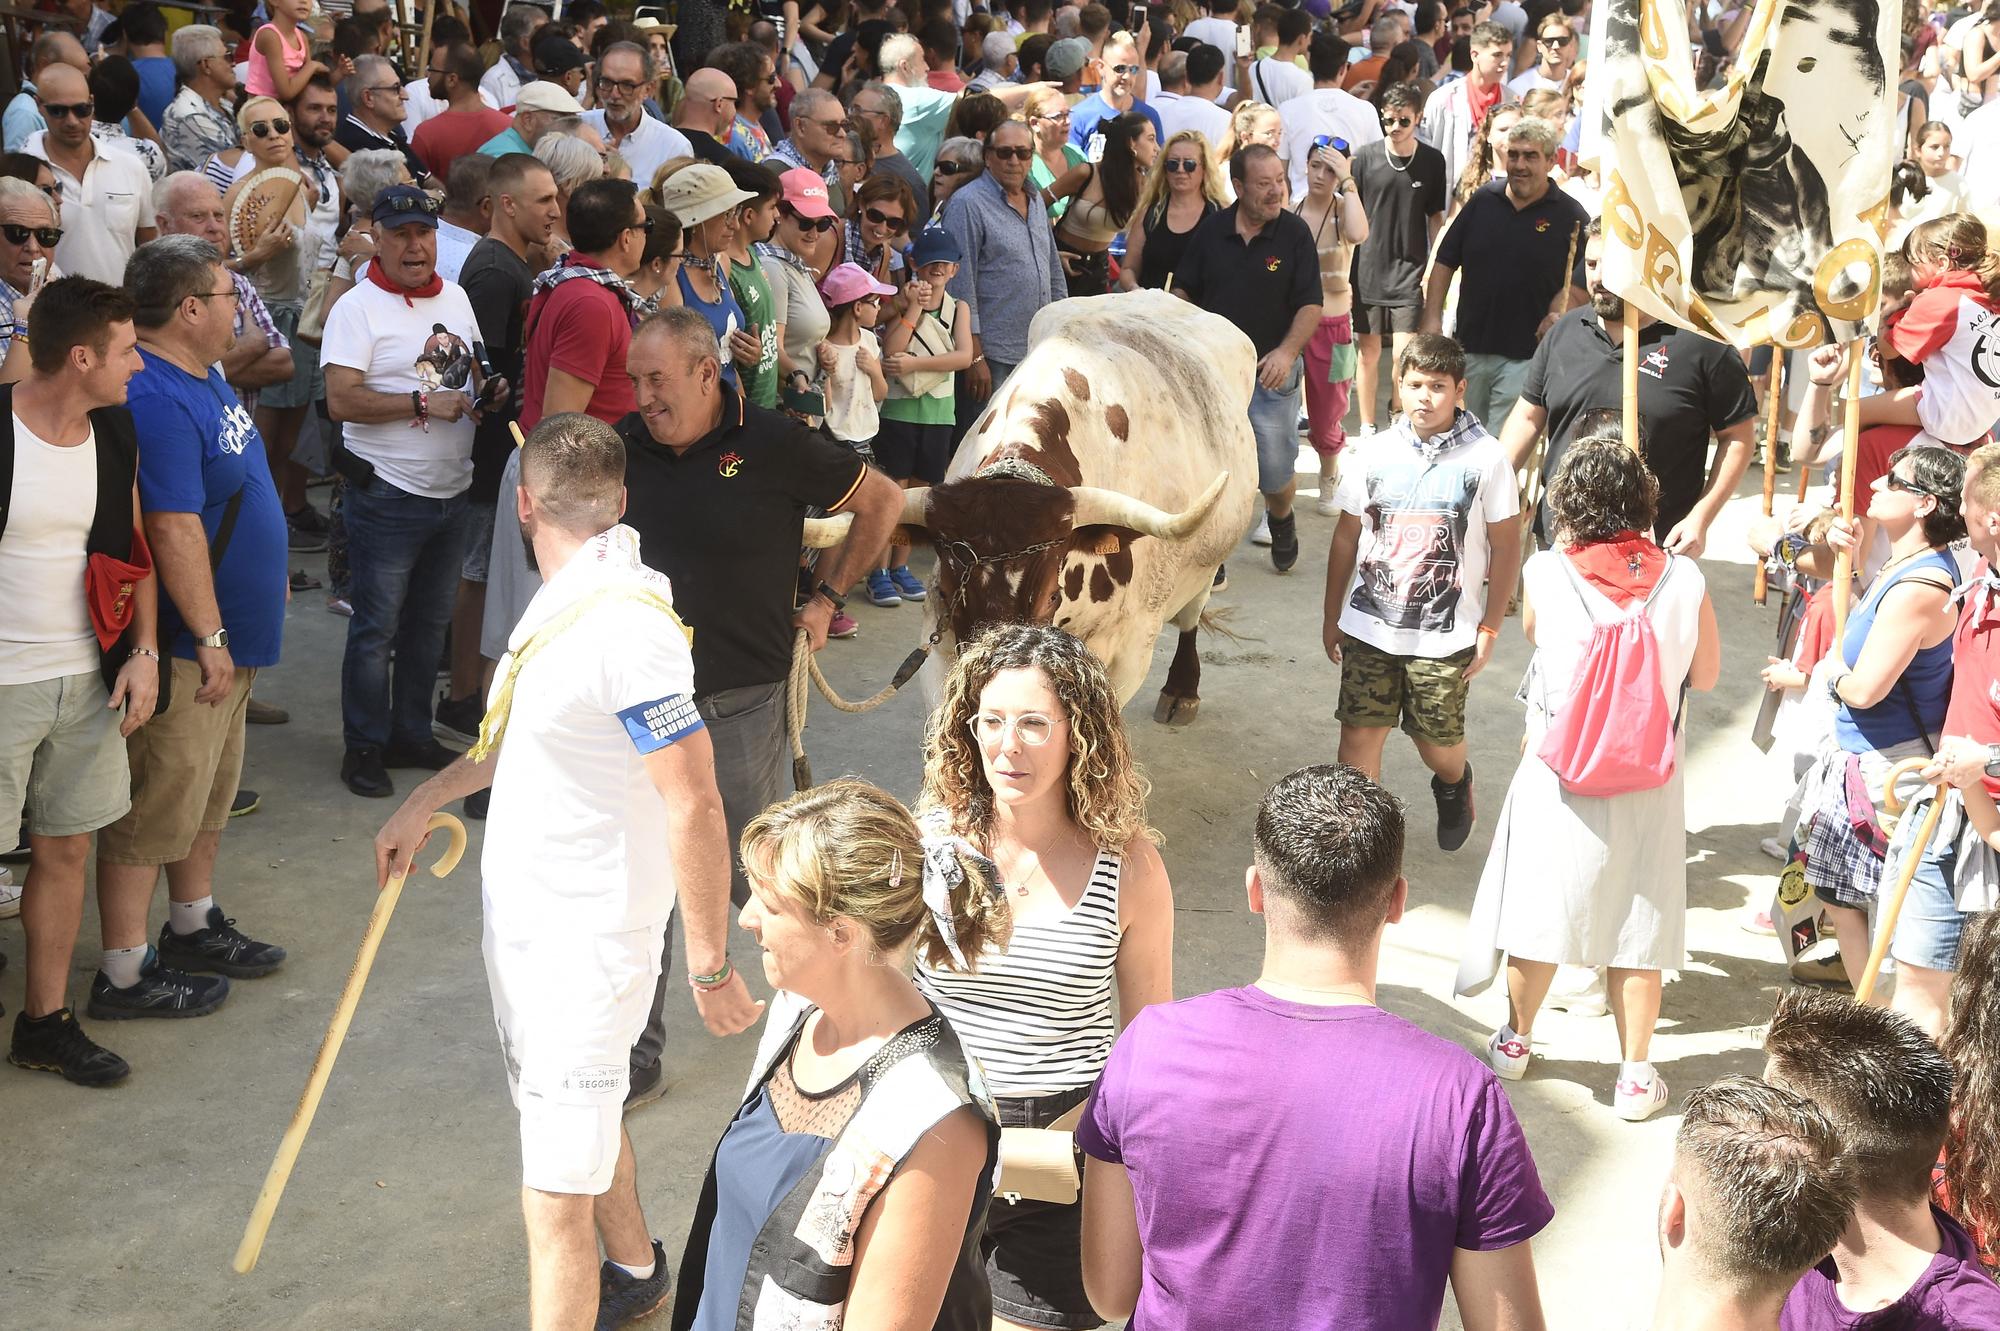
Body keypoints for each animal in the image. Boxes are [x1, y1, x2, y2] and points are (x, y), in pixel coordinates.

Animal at [904, 291, 1256, 727]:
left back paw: (1181, 691)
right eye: (947, 590)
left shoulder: (1131, 649)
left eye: (1051, 599)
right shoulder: (937, 640)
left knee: (1192, 615)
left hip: (1205, 566)